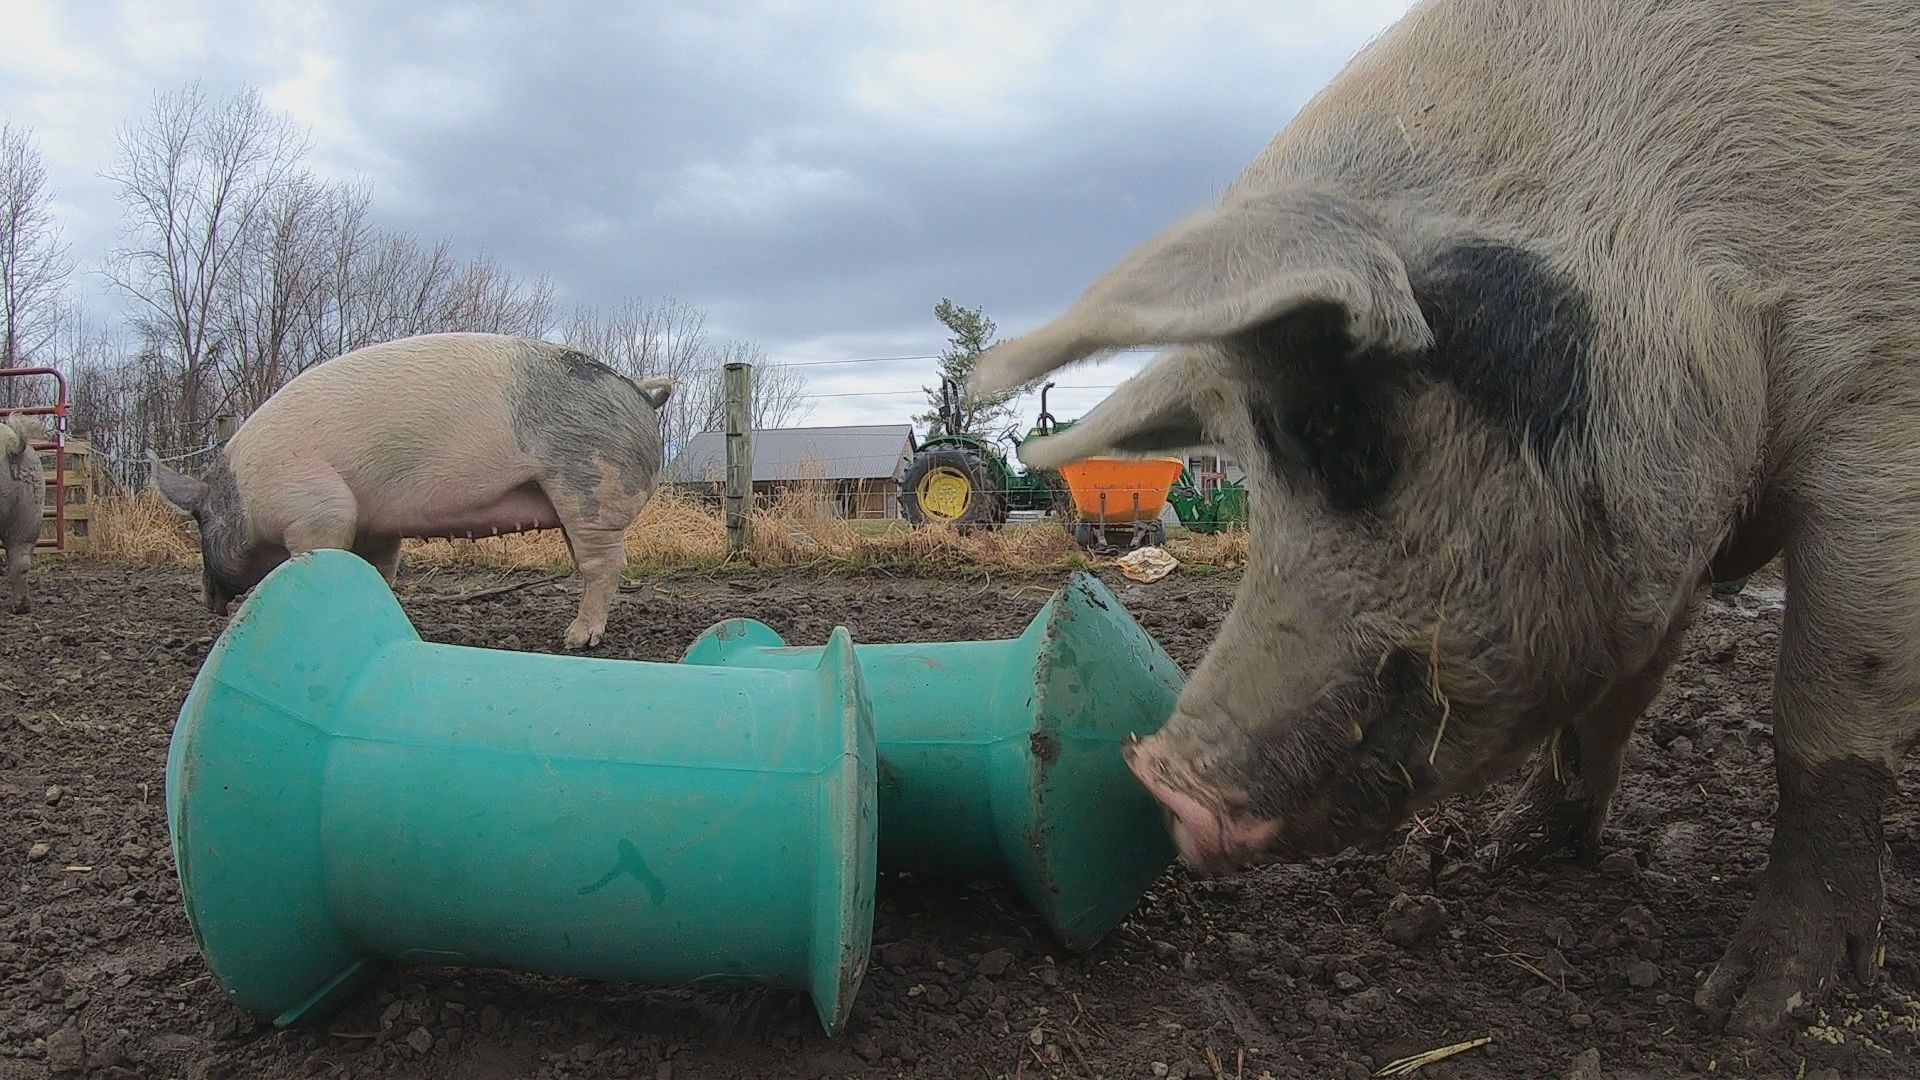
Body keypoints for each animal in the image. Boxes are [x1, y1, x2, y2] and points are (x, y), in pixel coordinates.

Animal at [149, 332, 675, 650]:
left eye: (198, 521)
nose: (206, 598)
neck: (244, 495)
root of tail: (639, 391)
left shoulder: (318, 511)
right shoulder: (375, 524)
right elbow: (379, 570)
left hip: (589, 486)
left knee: (605, 565)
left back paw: (577, 639)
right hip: (570, 500)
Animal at [967, 0, 1917, 1036]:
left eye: (1337, 426)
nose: (1160, 776)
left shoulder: (1881, 420)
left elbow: (1819, 709)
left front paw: (1748, 1008)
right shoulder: (1662, 534)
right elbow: (1613, 700)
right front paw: (1507, 857)